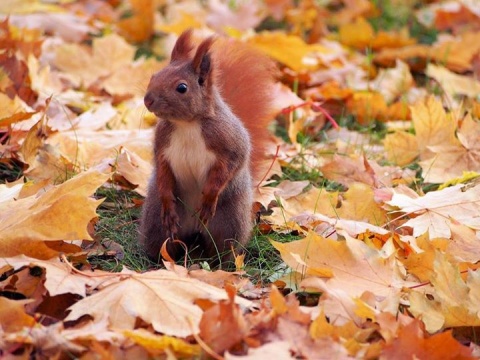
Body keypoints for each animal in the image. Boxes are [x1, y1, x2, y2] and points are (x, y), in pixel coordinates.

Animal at [138, 29, 278, 262]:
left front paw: (209, 197)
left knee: (223, 247)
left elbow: (228, 167)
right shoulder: (162, 146)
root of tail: (194, 231)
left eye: (182, 87)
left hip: (229, 221)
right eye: (154, 76)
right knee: (164, 242)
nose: (147, 100)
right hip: (156, 221)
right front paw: (168, 201)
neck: (186, 124)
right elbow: (163, 171)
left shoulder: (229, 143)